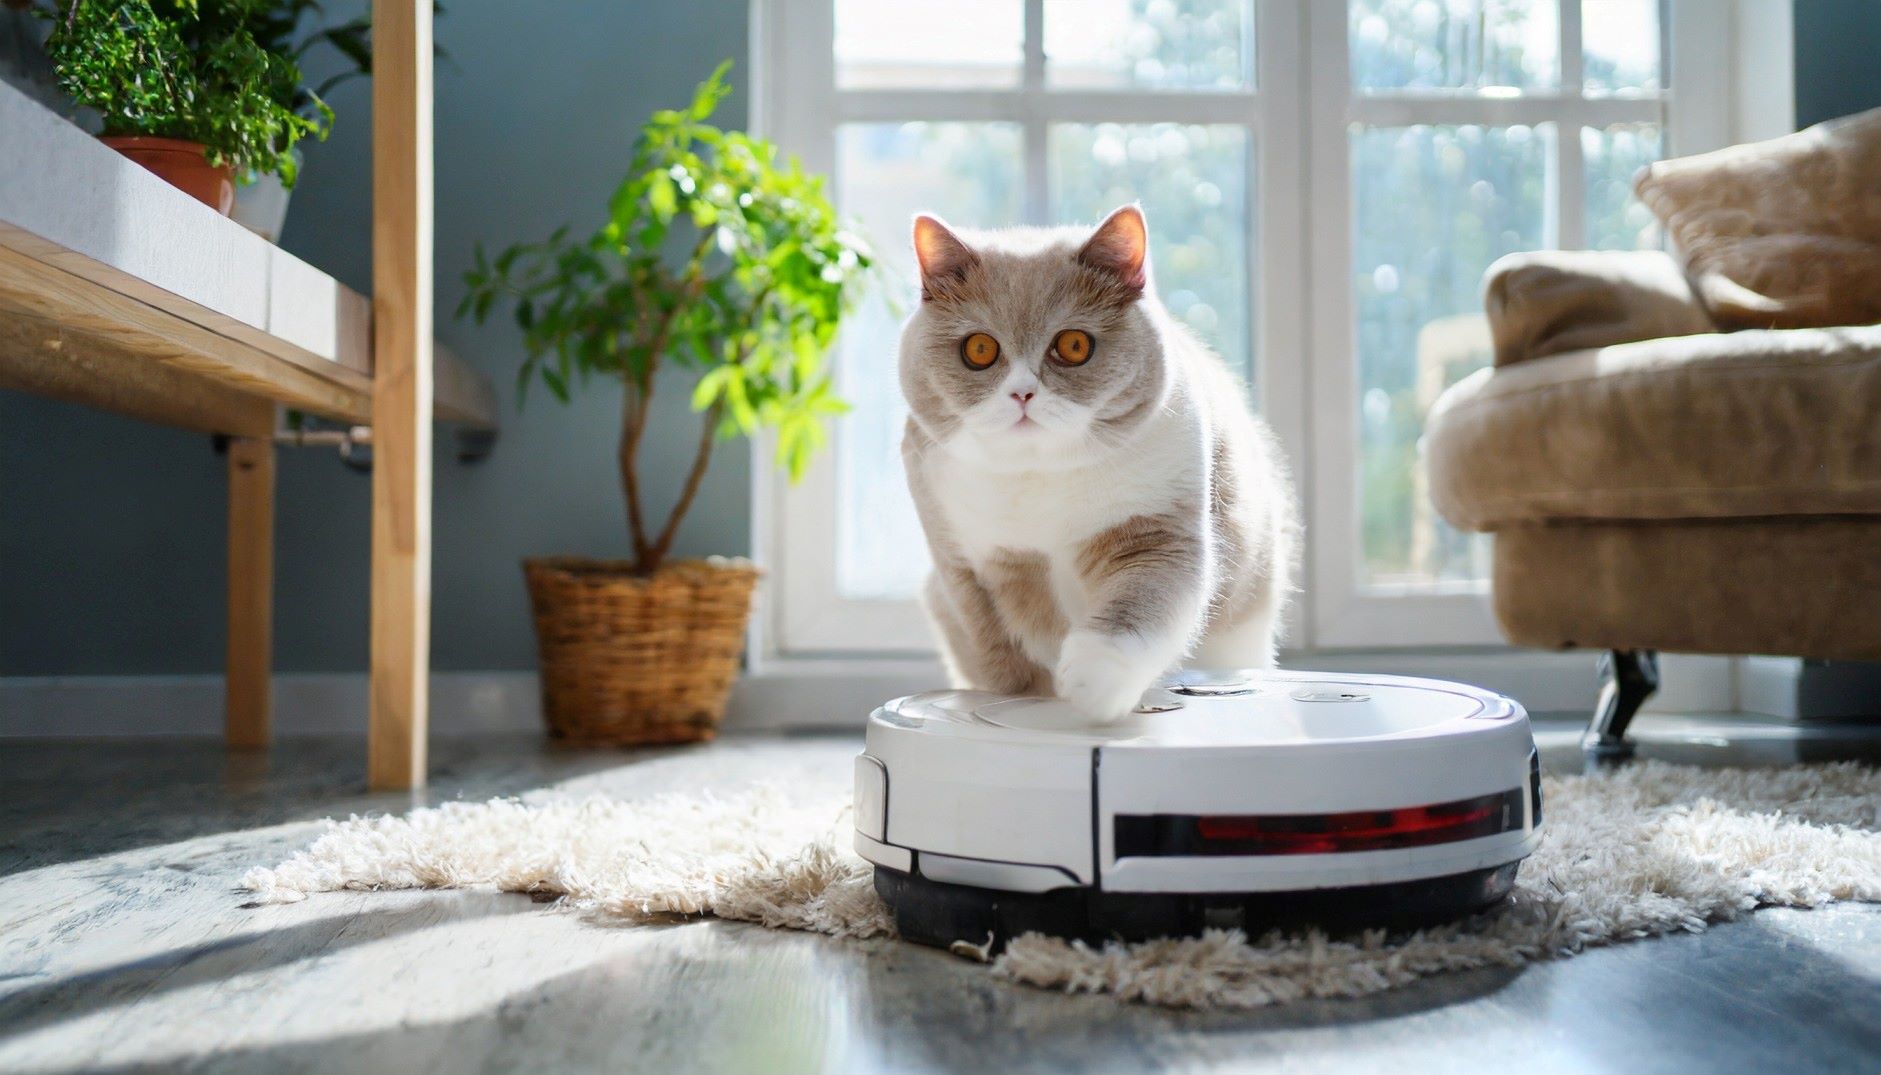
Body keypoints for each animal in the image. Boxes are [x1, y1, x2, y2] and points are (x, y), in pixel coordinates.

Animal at [895, 203, 1294, 721]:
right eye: (979, 349)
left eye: (1074, 345)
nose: (1023, 393)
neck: (1040, 478)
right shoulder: (967, 566)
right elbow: (1007, 653)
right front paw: (1023, 700)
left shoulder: (1157, 536)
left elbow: (1137, 607)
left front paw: (1092, 682)